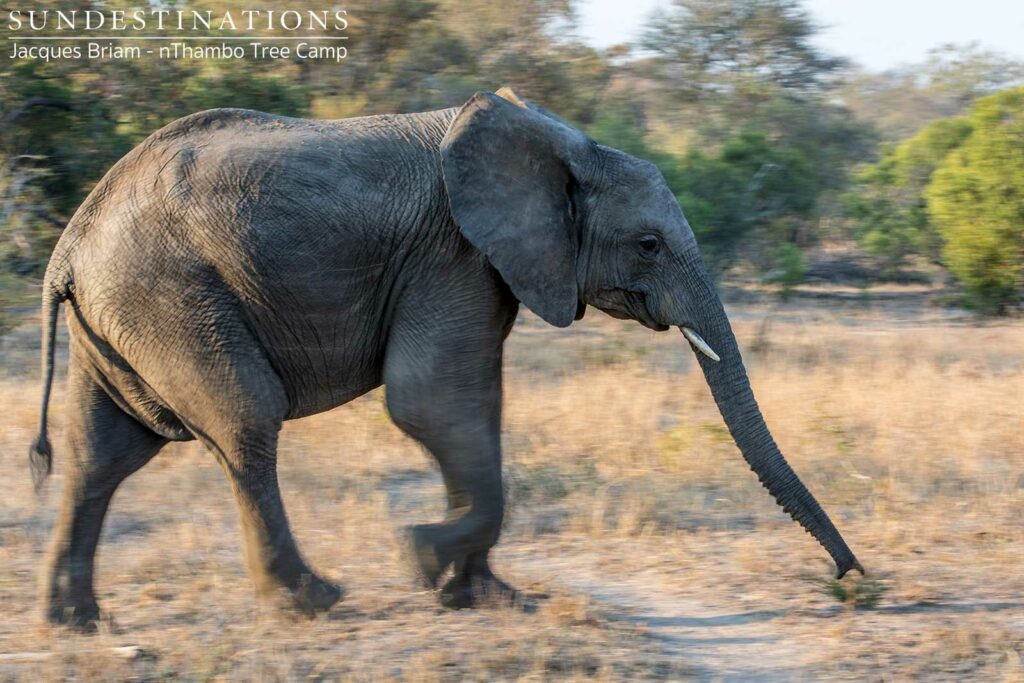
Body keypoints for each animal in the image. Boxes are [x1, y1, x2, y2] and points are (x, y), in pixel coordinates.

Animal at [29, 87, 862, 629]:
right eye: (649, 244)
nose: (853, 582)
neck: (557, 142)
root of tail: (68, 248)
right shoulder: (451, 254)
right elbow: (431, 403)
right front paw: (420, 557)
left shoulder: (480, 265)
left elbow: (475, 412)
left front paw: (487, 597)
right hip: (169, 297)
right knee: (245, 423)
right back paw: (313, 601)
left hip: (124, 317)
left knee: (102, 450)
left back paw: (75, 622)